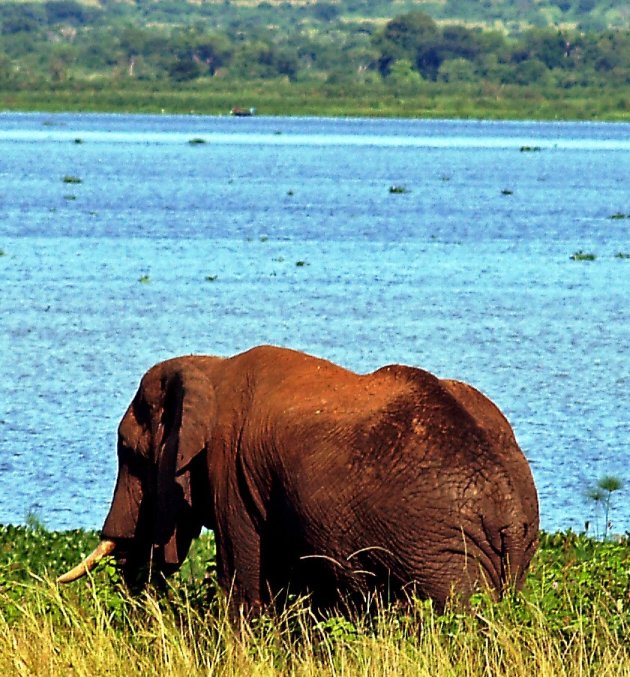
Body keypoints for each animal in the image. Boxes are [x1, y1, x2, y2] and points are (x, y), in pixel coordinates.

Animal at [59, 344, 540, 612]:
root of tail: (507, 503)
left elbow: (247, 588)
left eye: (128, 452)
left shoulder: (230, 473)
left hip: (439, 553)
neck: (209, 368)